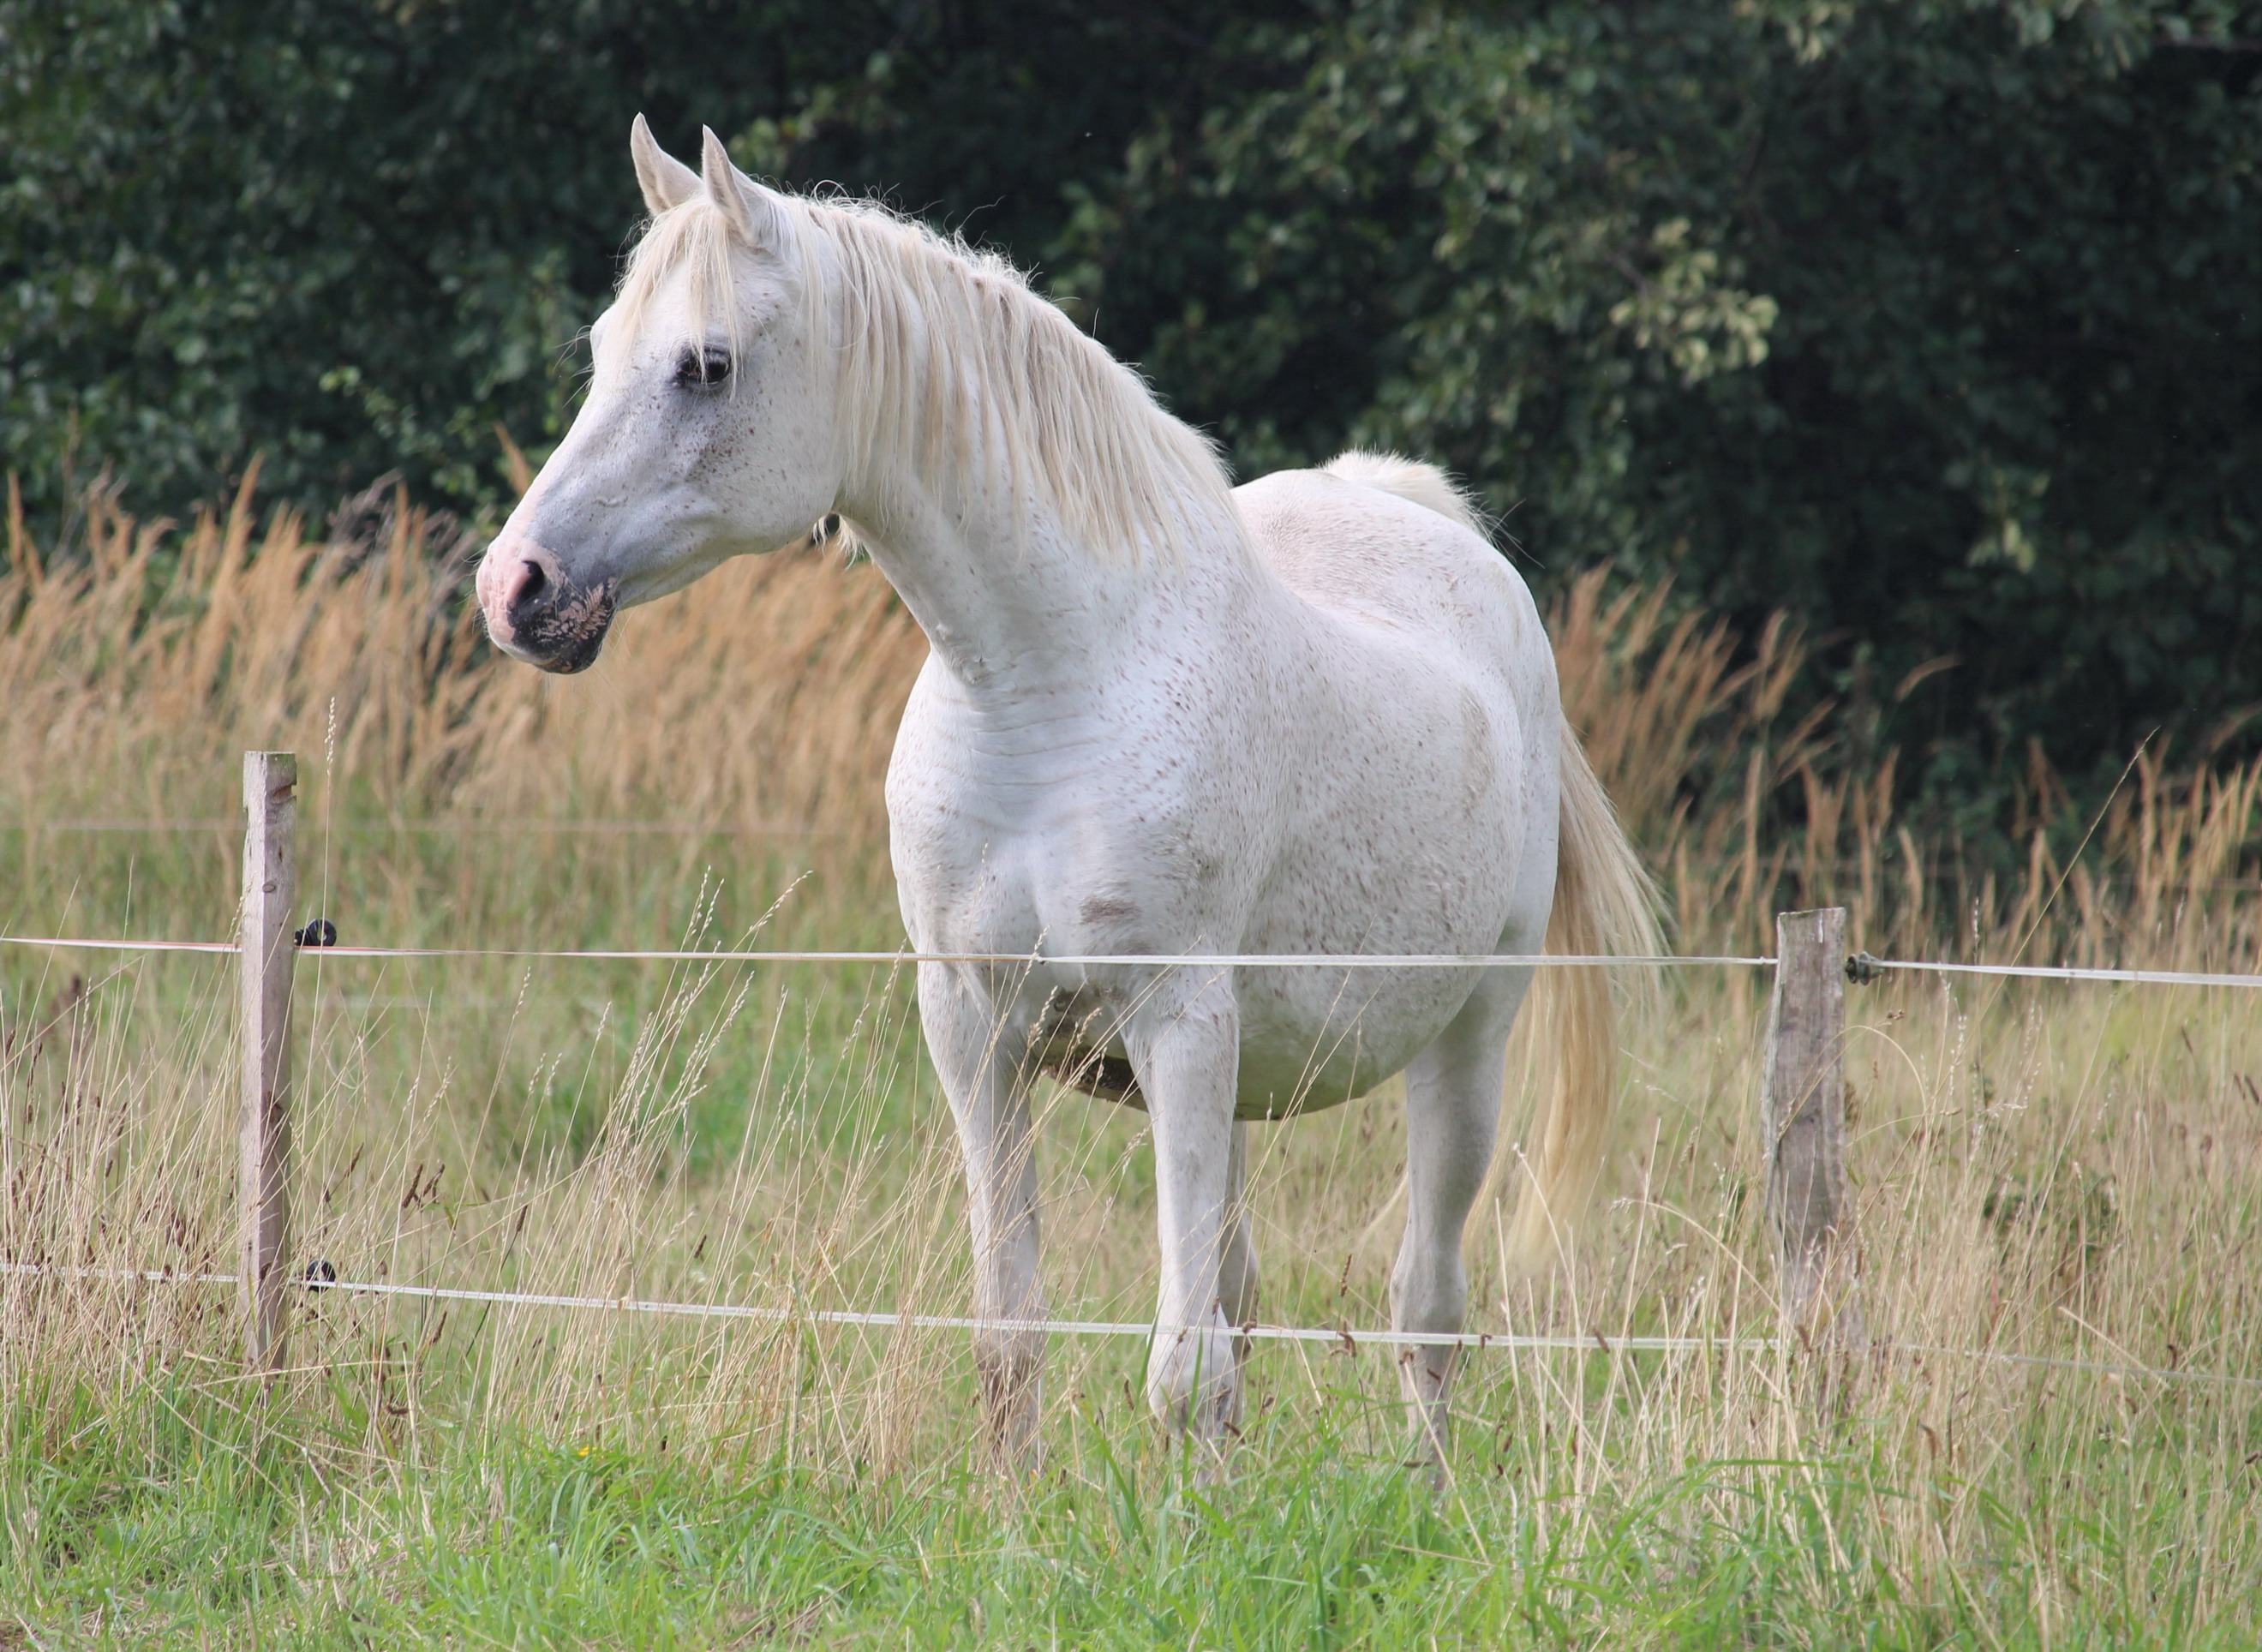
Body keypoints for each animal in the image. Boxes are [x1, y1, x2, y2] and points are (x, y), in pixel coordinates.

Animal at [474, 118, 1656, 1467]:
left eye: (706, 366)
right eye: (601, 351)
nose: (516, 586)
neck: (1048, 696)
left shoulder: (1180, 1022)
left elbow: (1181, 1369)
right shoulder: (973, 1029)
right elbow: (1016, 1338)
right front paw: (1022, 1510)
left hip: (1464, 1045)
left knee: (1428, 1308)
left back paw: (1429, 1497)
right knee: (1245, 1294)